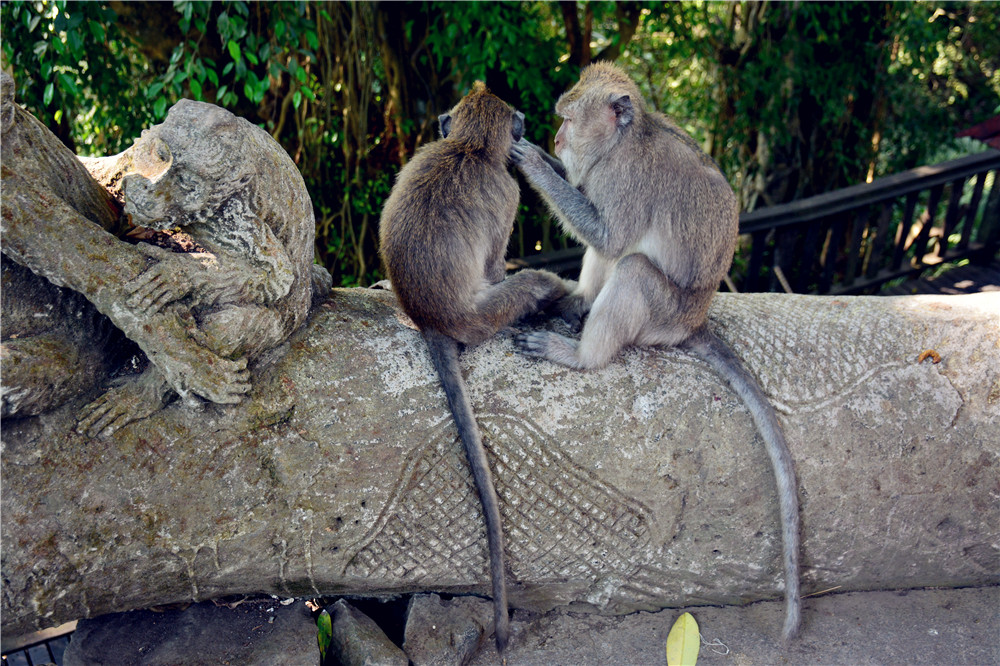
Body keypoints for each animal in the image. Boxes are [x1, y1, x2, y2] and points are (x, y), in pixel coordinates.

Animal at [378, 80, 572, 652]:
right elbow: (496, 262)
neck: (468, 148)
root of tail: (433, 319)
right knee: (524, 283)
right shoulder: (507, 195)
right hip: (485, 313)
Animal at [512, 62, 800, 640]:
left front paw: (533, 162)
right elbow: (599, 233)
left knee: (632, 266)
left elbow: (608, 232)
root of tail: (695, 320)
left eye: (568, 119)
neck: (625, 141)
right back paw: (576, 304)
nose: (555, 139)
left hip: (663, 316)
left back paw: (580, 354)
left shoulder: (623, 181)